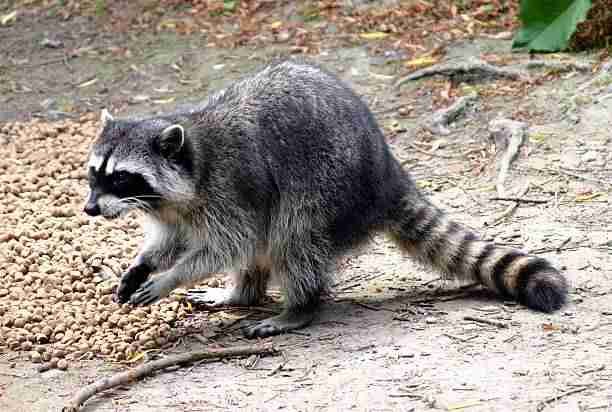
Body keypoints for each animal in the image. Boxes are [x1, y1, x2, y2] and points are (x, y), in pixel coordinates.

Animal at [82, 60, 568, 338]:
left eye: (120, 178)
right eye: (93, 174)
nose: (89, 208)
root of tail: (387, 171)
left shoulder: (231, 188)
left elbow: (227, 246)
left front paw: (172, 277)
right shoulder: (175, 209)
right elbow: (174, 241)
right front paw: (145, 263)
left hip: (330, 187)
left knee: (292, 237)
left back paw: (298, 307)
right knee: (269, 244)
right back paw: (241, 293)